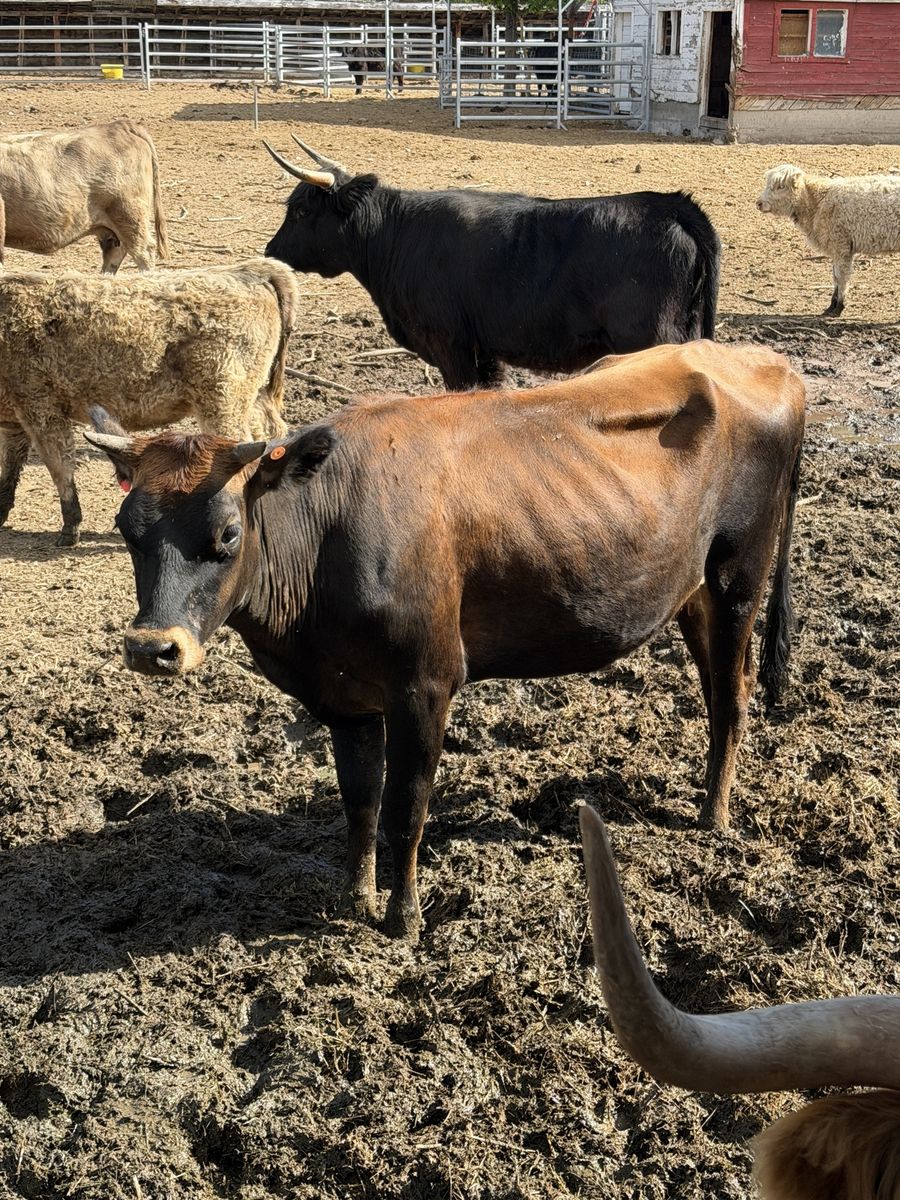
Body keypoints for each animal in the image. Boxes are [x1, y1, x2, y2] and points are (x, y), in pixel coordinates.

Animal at [0, 259, 298, 547]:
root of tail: (249, 271)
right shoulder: (15, 422)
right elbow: (10, 467)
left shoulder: (41, 408)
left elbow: (60, 467)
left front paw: (70, 529)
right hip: (254, 399)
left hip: (223, 401)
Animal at [85, 340, 805, 942]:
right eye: (125, 528)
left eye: (228, 533)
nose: (152, 649)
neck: (328, 538)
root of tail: (757, 359)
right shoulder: (344, 698)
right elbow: (361, 802)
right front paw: (355, 899)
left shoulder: (425, 685)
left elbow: (406, 808)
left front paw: (403, 920)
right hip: (692, 592)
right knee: (719, 687)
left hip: (739, 575)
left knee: (732, 696)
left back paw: (713, 816)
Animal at [262, 136, 721, 390]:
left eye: (300, 210)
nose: (270, 250)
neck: (396, 236)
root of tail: (671, 204)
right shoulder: (485, 350)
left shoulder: (451, 346)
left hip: (650, 337)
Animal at [756, 164, 900, 318]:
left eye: (780, 186)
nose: (758, 203)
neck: (818, 201)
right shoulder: (837, 248)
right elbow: (835, 276)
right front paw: (831, 306)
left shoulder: (841, 244)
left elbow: (841, 276)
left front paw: (838, 307)